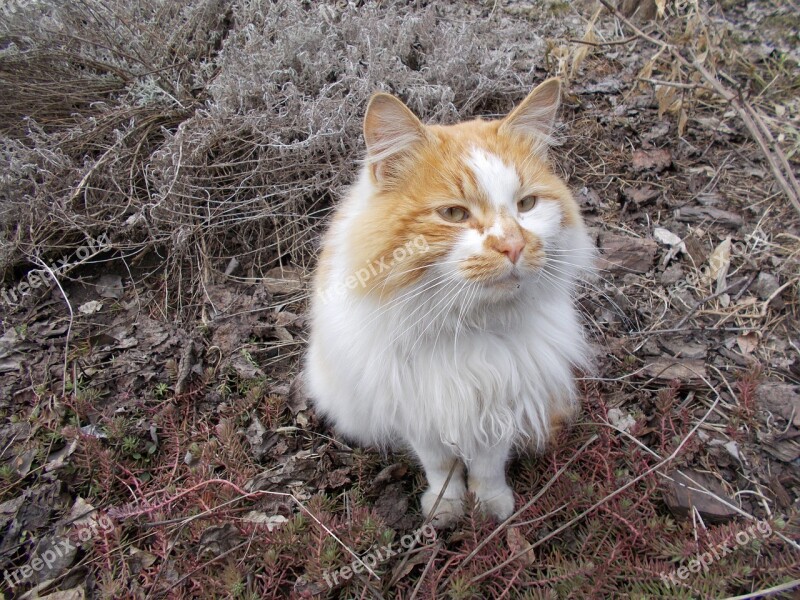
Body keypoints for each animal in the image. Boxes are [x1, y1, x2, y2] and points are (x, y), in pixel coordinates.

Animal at [304, 79, 592, 524]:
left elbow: (488, 466)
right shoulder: (417, 409)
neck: (469, 327)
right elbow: (441, 466)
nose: (513, 245)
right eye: (454, 214)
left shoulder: (500, 401)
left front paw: (489, 506)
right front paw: (446, 508)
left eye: (526, 205)